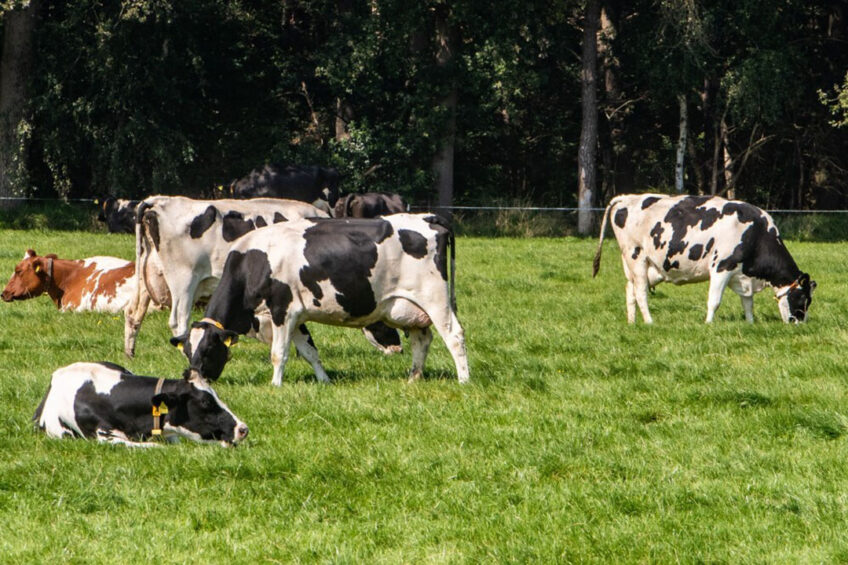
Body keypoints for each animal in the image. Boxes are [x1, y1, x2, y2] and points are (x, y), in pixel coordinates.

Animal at [168, 214, 468, 386]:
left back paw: (464, 380)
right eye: (187, 352)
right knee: (422, 340)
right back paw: (414, 378)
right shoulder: (297, 316)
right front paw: (324, 381)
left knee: (454, 336)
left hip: (435, 299)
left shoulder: (283, 310)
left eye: (208, 350)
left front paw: (275, 386)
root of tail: (430, 219)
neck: (252, 262)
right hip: (410, 308)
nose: (193, 378)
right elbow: (310, 351)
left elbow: (279, 353)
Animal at [588, 194, 816, 324]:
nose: (799, 324)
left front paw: (750, 323)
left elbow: (748, 302)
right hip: (636, 257)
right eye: (803, 299)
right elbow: (714, 301)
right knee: (641, 292)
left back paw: (632, 322)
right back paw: (649, 321)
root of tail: (627, 198)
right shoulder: (722, 267)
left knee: (630, 289)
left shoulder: (742, 275)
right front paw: (708, 324)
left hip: (648, 267)